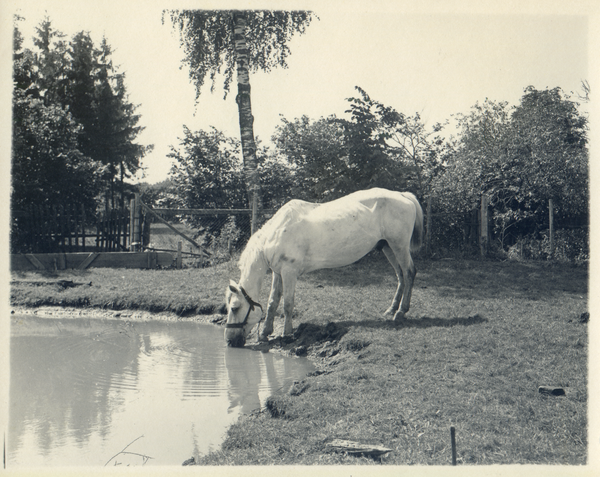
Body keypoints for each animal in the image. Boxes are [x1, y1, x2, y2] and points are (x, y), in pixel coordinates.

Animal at [223, 188, 424, 348]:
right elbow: (273, 302)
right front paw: (265, 333)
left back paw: (401, 312)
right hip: (387, 247)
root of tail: (403, 195)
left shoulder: (289, 272)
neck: (277, 232)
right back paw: (392, 309)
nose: (229, 341)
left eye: (234, 308)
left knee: (409, 273)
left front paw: (286, 334)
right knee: (400, 275)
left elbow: (287, 304)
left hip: (399, 246)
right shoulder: (278, 273)